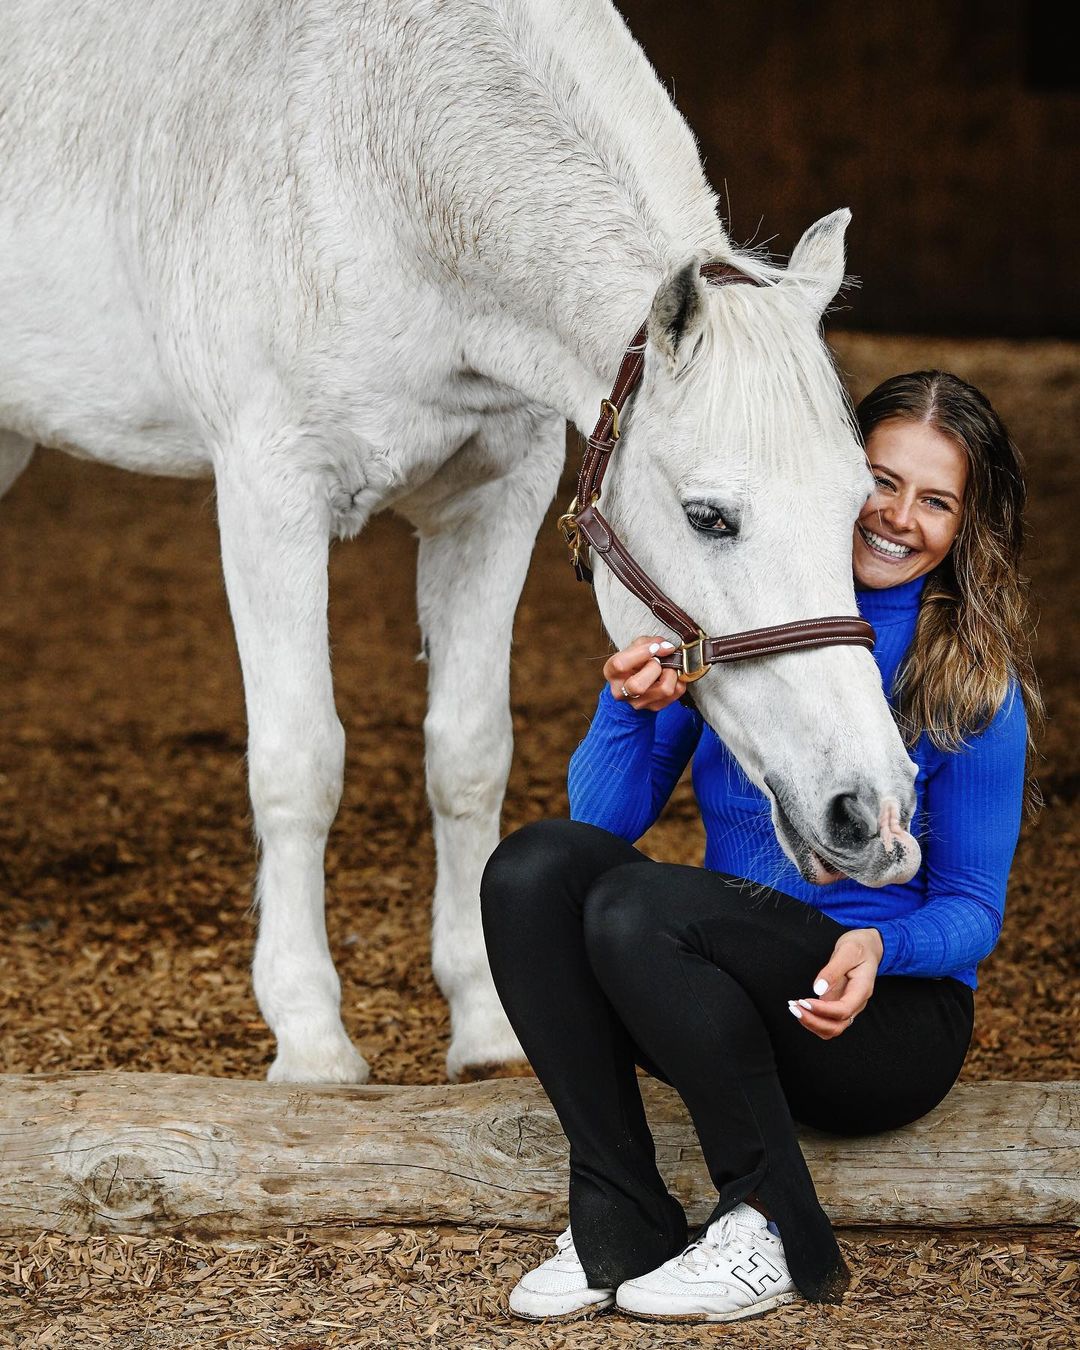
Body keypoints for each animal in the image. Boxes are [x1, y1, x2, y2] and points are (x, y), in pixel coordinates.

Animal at [4, 0, 918, 1080]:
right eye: (708, 516)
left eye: (860, 508)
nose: (871, 812)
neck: (386, 165)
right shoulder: (271, 494)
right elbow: (300, 759)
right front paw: (311, 1038)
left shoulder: (496, 497)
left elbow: (470, 754)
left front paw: (486, 1025)